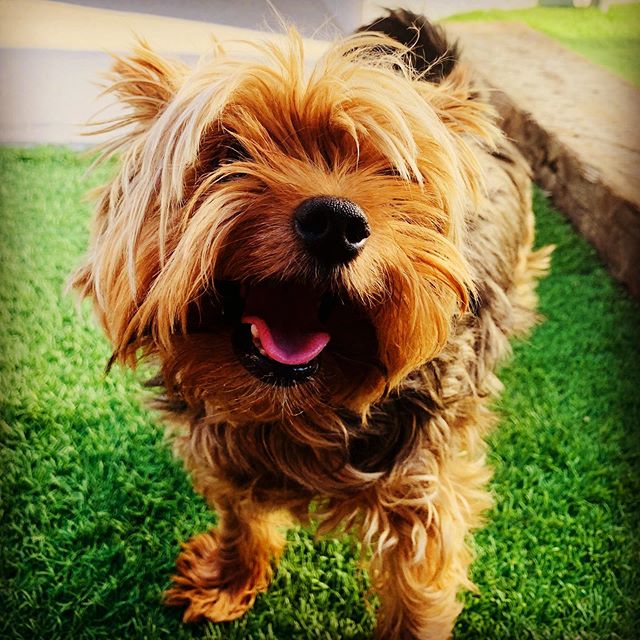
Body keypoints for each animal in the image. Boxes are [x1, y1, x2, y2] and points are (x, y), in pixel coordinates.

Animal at [71, 11, 552, 640]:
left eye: (393, 171)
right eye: (226, 152)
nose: (335, 222)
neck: (298, 413)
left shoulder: (423, 487)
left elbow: (418, 588)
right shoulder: (221, 445)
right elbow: (240, 515)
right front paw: (228, 580)